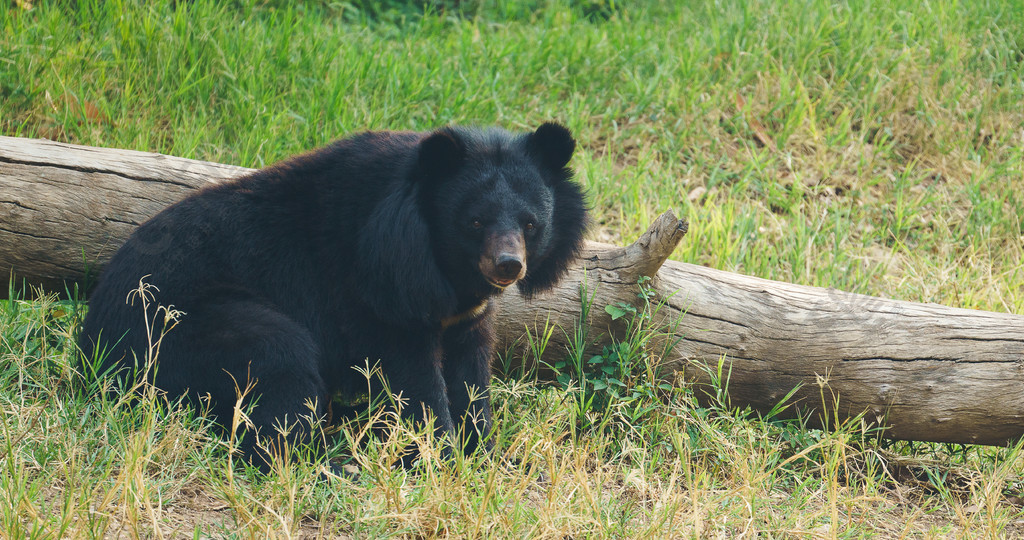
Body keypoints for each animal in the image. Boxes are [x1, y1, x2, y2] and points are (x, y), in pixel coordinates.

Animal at [78, 123, 589, 473]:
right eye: (475, 222)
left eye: (530, 223)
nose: (507, 265)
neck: (442, 269)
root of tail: (93, 343)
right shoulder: (373, 292)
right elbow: (415, 377)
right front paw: (436, 454)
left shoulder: (465, 315)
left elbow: (470, 373)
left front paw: (485, 449)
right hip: (182, 328)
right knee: (277, 363)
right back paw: (331, 458)